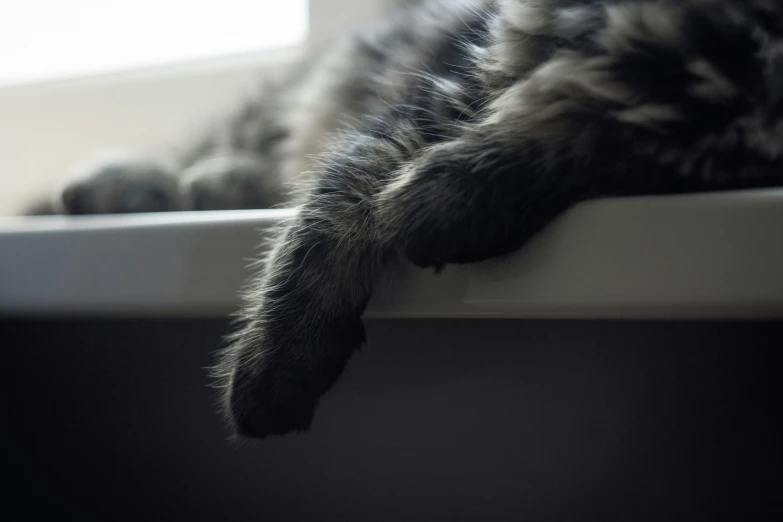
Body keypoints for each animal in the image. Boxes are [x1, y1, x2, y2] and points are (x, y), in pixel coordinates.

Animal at [50, 1, 783, 438]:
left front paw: (438, 204)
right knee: (221, 150)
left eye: (656, 170)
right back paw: (119, 186)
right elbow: (331, 206)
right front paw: (277, 359)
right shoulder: (438, 92)